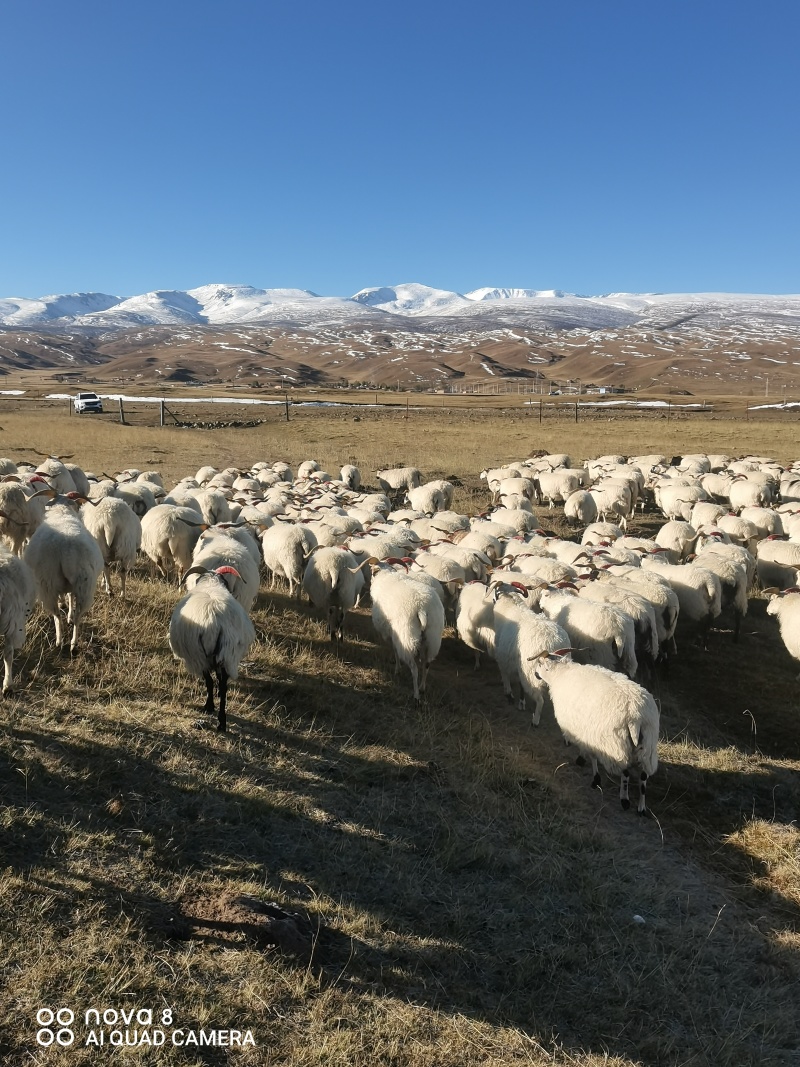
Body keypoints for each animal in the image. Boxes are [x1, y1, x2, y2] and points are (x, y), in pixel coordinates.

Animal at [169, 567, 257, 734]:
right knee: (224, 686)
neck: (211, 582)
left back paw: (209, 707)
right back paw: (222, 722)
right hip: (228, 653)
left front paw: (209, 704)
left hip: (199, 655)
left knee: (209, 680)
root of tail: (215, 622)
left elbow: (210, 680)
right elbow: (219, 679)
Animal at [535, 648, 661, 815]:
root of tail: (636, 716)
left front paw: (593, 776)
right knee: (643, 776)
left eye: (539, 663)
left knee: (625, 773)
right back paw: (641, 807)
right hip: (648, 744)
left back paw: (625, 800)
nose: (535, 674)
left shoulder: (588, 733)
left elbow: (592, 756)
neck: (560, 674)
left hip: (617, 744)